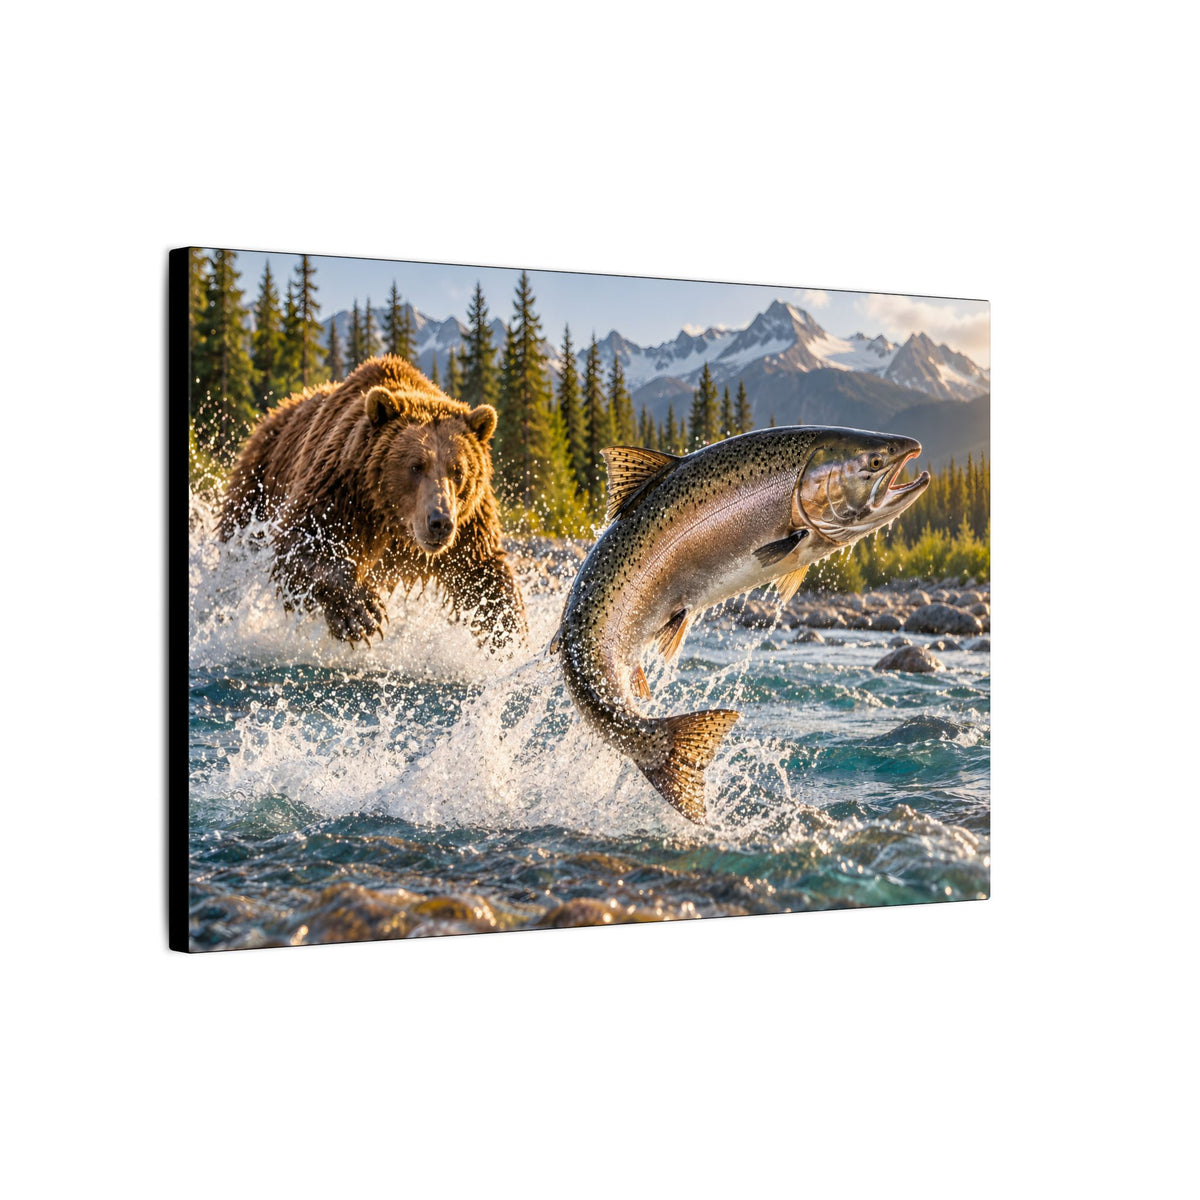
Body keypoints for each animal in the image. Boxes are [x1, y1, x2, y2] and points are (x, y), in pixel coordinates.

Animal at [217, 355, 528, 653]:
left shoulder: (468, 526)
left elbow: (484, 573)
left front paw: (510, 637)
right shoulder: (339, 493)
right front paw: (361, 613)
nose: (439, 522)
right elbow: (299, 545)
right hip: (258, 482)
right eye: (416, 466)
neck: (392, 521)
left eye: (458, 470)